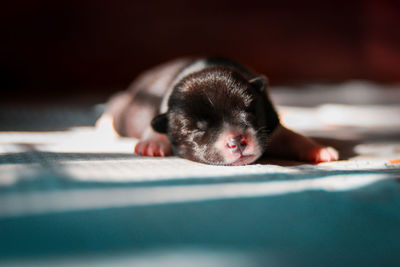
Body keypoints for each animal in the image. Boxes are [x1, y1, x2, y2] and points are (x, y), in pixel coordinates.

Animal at [101, 57, 340, 165]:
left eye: (249, 110)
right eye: (197, 129)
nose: (237, 142)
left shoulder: (271, 125)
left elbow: (290, 136)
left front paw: (319, 150)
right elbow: (156, 124)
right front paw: (152, 143)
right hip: (126, 110)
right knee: (114, 106)